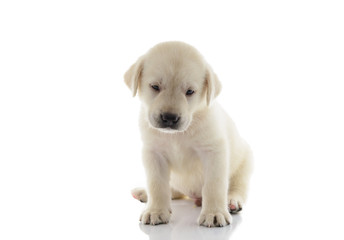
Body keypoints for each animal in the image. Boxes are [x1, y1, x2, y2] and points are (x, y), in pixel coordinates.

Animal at [124, 40, 253, 227]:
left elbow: (214, 185)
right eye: (155, 87)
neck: (177, 135)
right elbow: (157, 185)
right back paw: (145, 193)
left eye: (190, 91)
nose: (169, 118)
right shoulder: (153, 153)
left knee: (237, 187)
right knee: (173, 190)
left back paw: (231, 201)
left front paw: (214, 213)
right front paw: (156, 210)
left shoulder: (214, 152)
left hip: (245, 164)